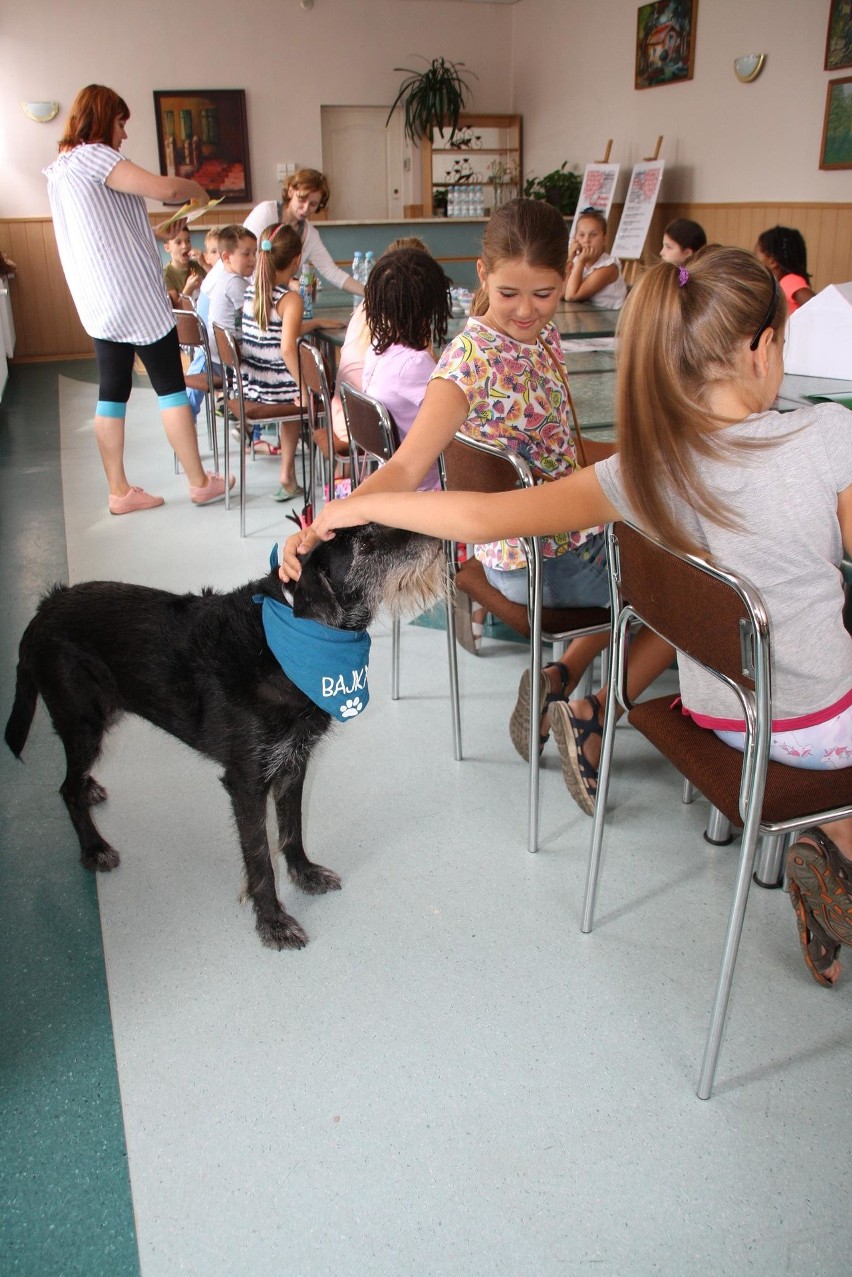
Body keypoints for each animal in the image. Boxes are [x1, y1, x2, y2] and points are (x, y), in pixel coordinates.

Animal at [6, 521, 444, 950]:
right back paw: (93, 847)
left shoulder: (293, 762)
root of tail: (43, 609)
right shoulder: (246, 782)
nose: (439, 539)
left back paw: (91, 787)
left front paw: (304, 874)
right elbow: (260, 858)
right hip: (84, 724)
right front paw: (273, 923)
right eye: (363, 543)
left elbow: (292, 829)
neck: (292, 638)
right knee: (66, 787)